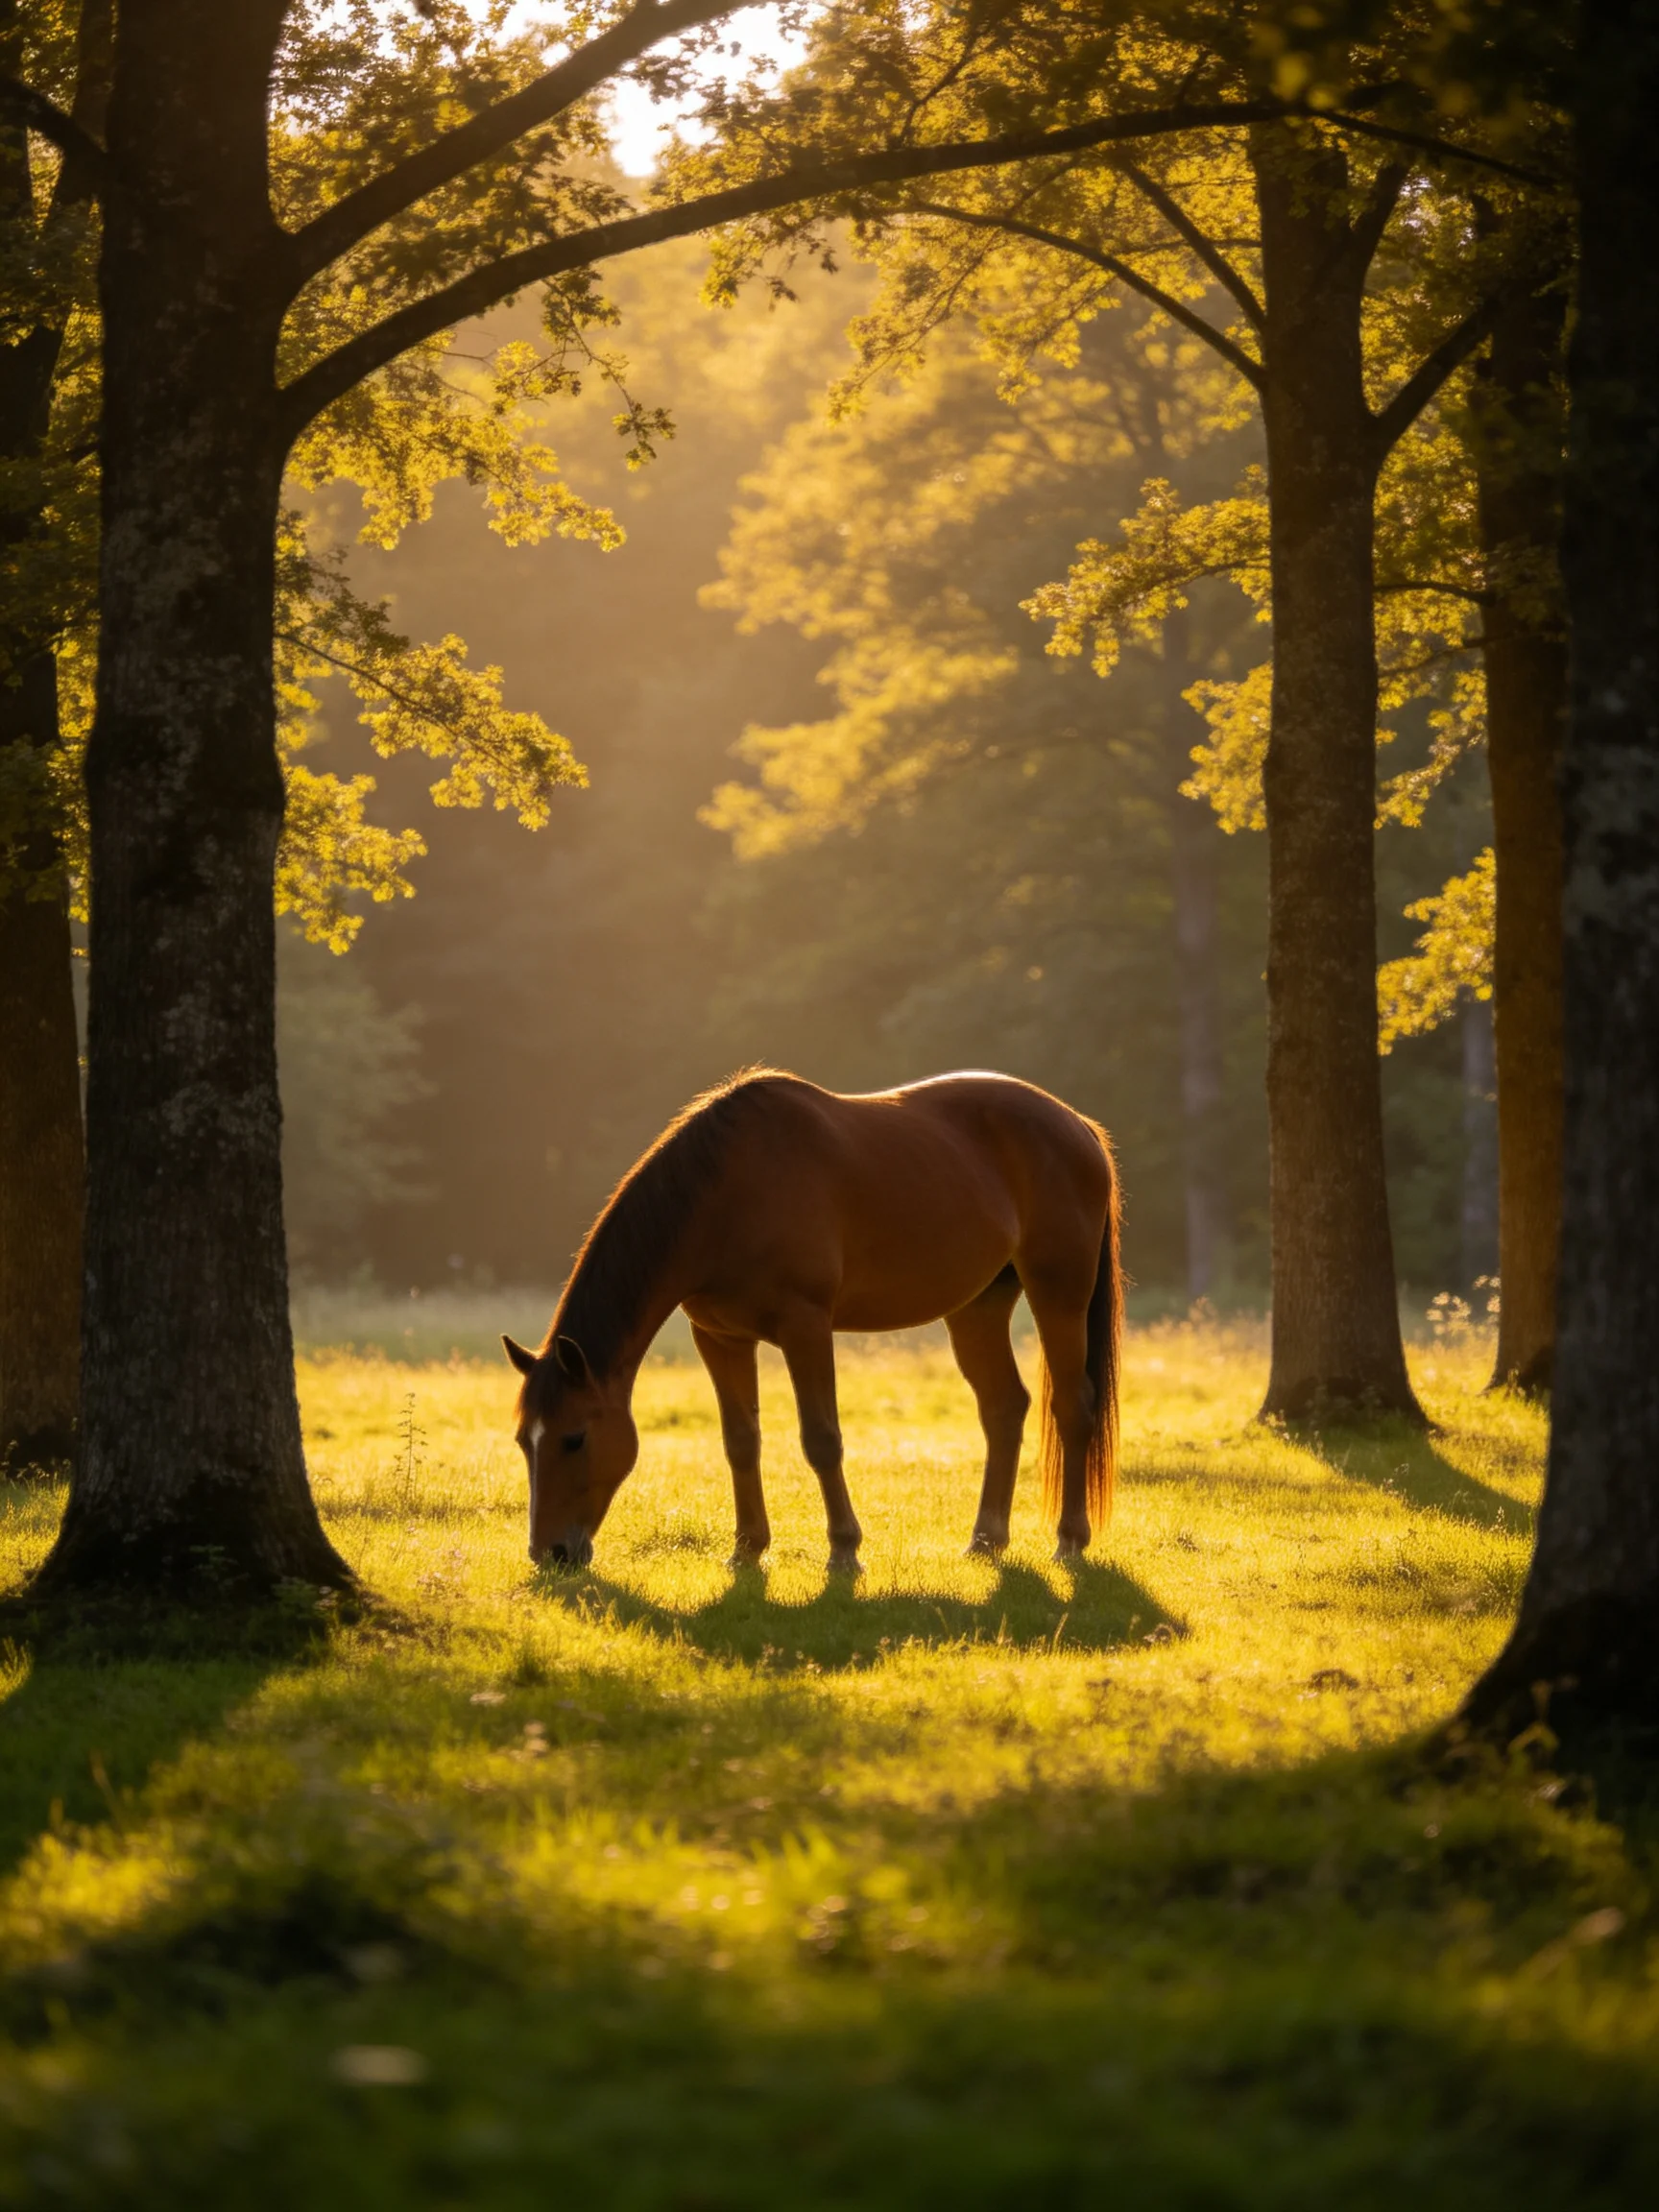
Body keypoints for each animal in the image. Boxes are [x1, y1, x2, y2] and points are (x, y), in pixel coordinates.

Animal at [502, 1068, 1121, 1573]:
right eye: (522, 1442)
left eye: (575, 1438)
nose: (550, 1554)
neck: (728, 1193)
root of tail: (1078, 1126)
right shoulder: (720, 1338)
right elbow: (740, 1441)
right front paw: (747, 1549)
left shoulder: (805, 1327)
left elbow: (821, 1439)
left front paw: (845, 1550)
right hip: (977, 1308)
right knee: (1003, 1408)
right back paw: (986, 1540)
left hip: (1059, 1293)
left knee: (1072, 1406)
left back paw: (1070, 1540)